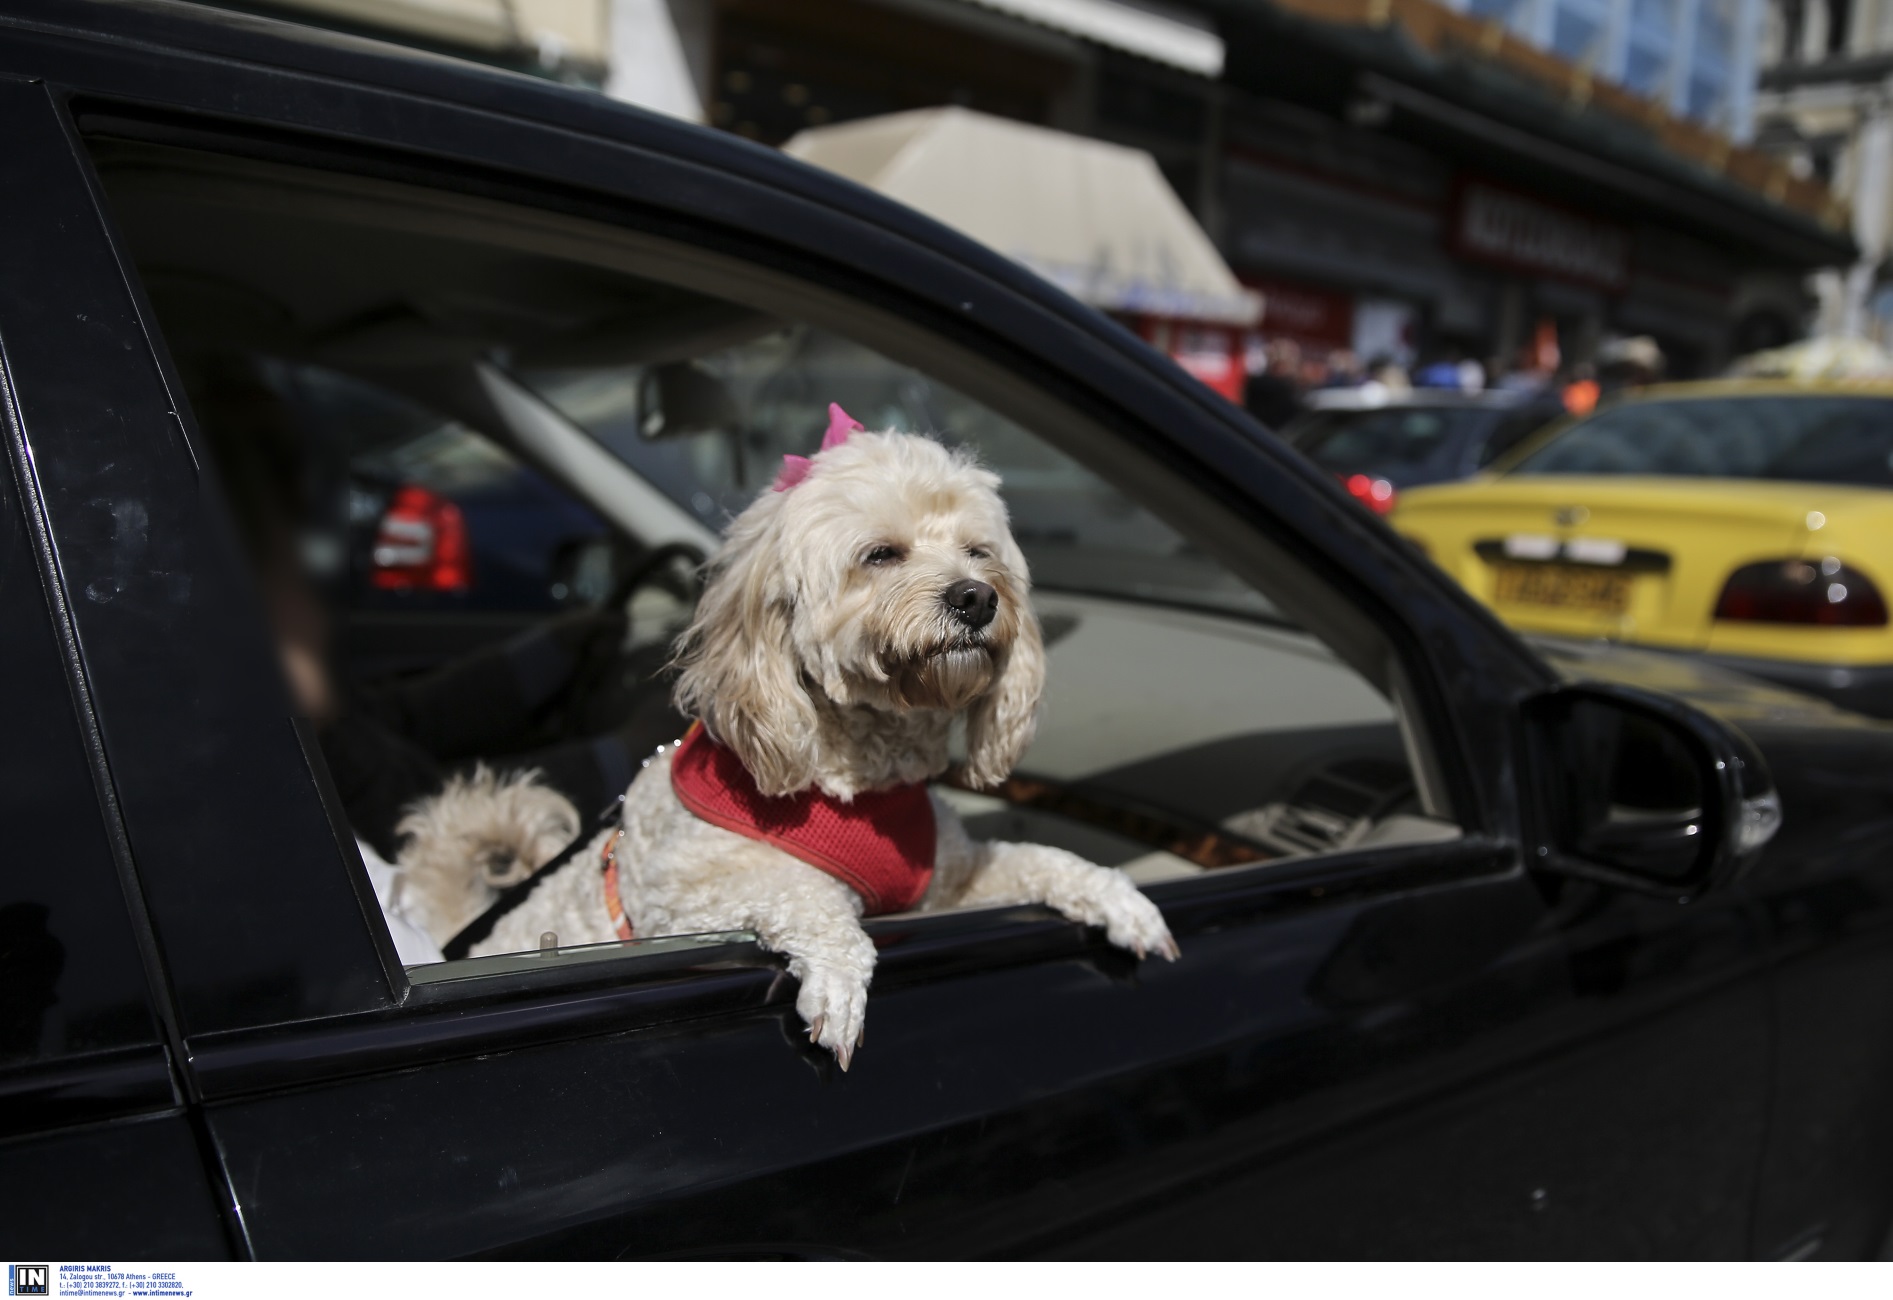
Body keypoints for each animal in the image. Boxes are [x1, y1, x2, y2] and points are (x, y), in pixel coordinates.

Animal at [422, 414, 1173, 1067]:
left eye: (977, 552)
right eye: (880, 555)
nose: (976, 597)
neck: (866, 777)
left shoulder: (947, 887)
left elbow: (1041, 858)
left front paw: (1120, 899)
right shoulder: (684, 895)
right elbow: (805, 893)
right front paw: (839, 979)